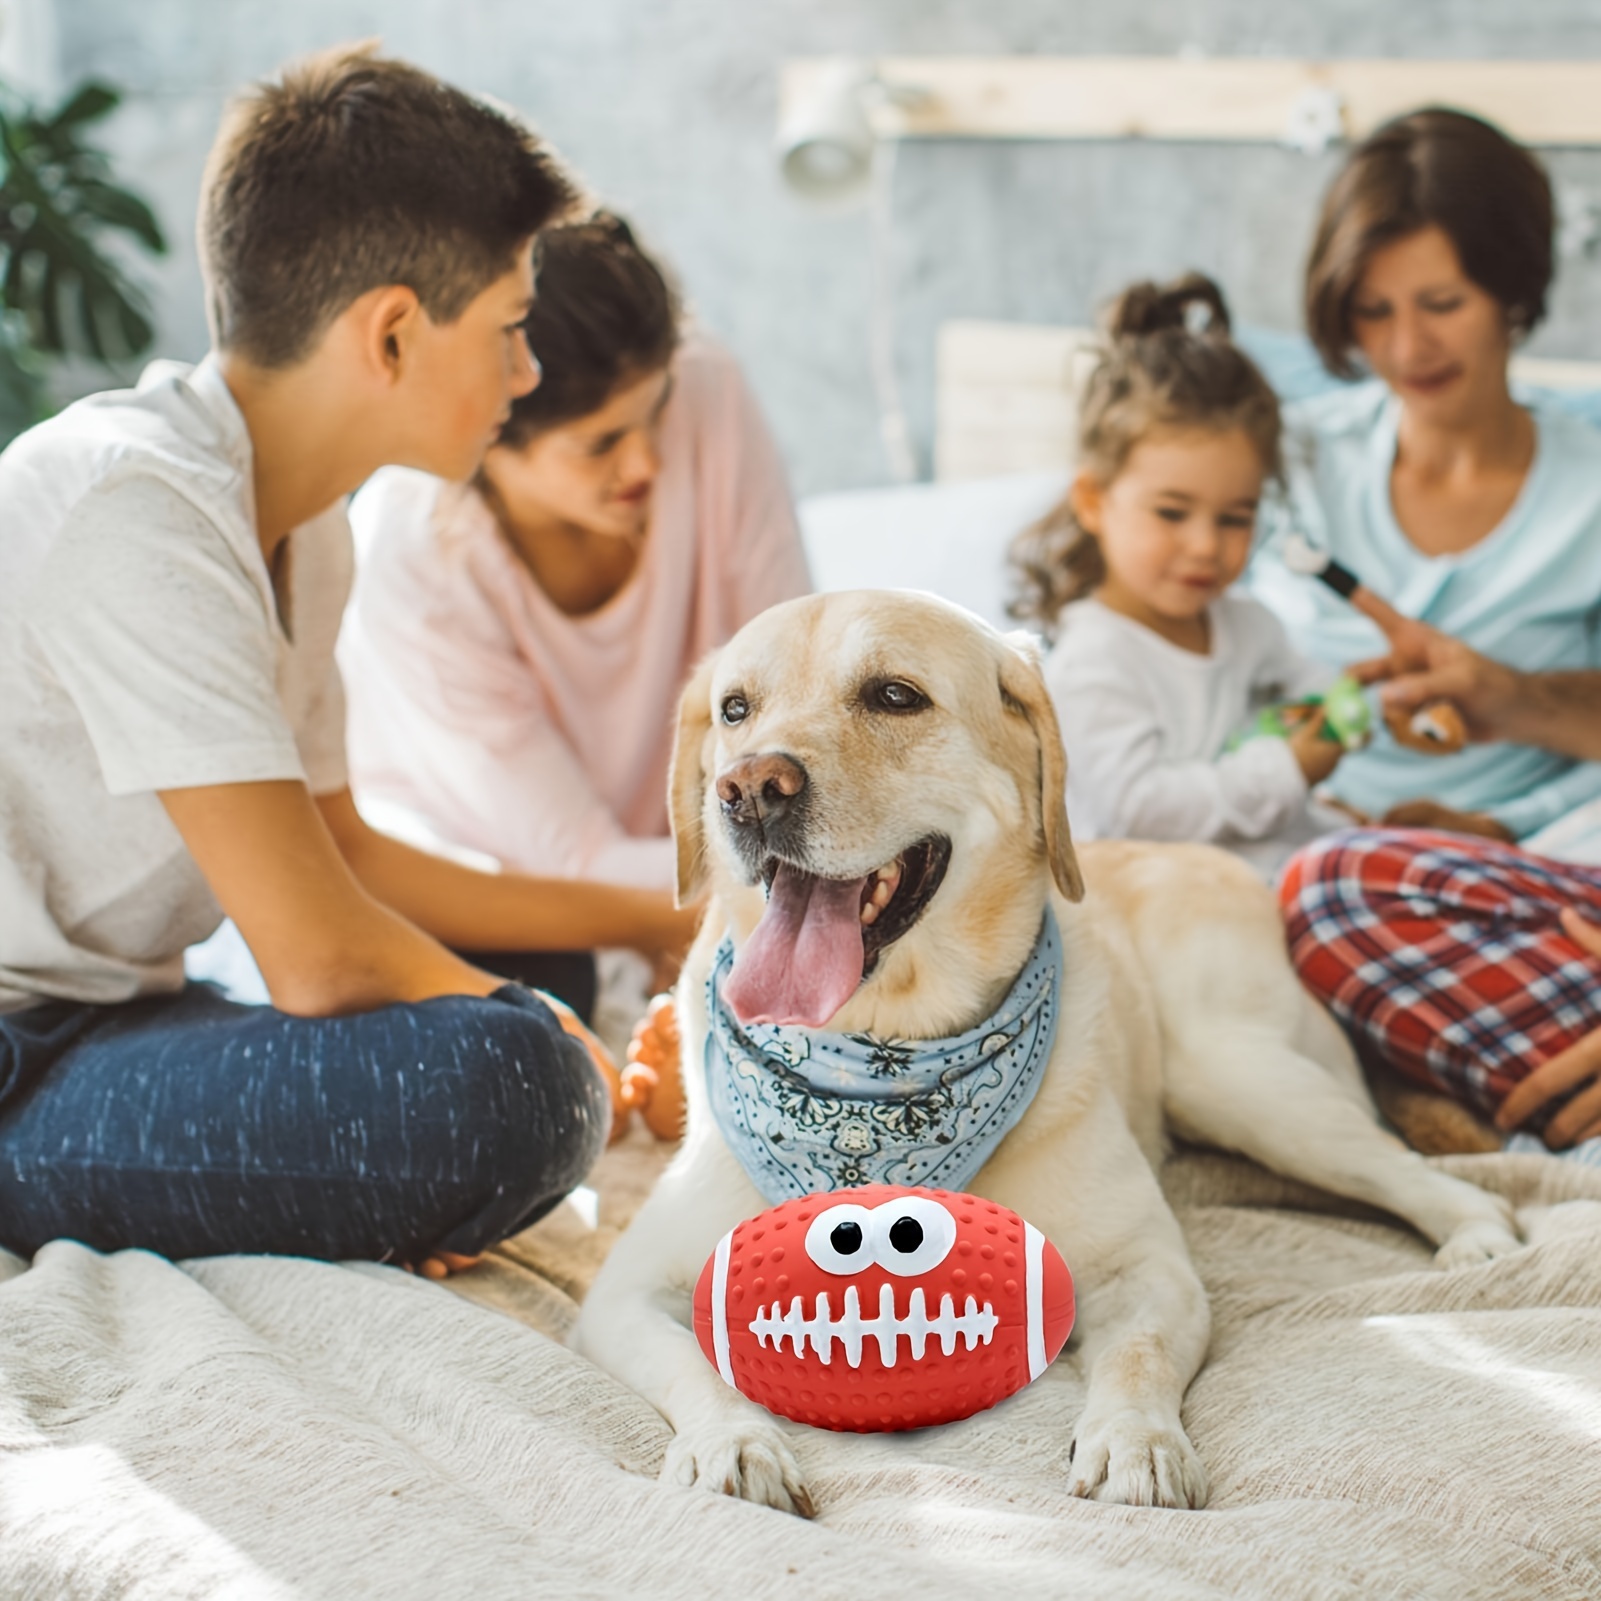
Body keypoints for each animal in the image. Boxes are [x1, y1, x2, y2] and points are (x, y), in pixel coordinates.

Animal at [573, 589, 1511, 1511]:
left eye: (893, 695)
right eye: (735, 709)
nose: (748, 788)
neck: (881, 1061)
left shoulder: (1149, 1267)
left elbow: (1136, 1356)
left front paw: (1135, 1441)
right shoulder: (624, 1291)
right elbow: (695, 1366)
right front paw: (733, 1441)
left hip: (1242, 1081)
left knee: (1406, 1164)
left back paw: (1478, 1234)